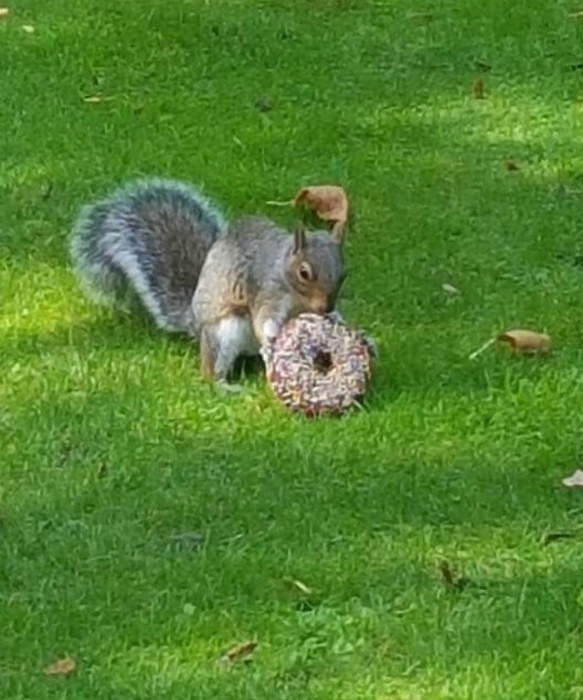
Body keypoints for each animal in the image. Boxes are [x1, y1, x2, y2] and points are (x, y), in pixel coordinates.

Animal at [70, 175, 350, 382]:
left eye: (344, 273)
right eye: (304, 273)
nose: (326, 307)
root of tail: (194, 321)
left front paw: (337, 318)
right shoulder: (266, 290)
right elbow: (264, 322)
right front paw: (271, 342)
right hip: (224, 333)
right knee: (211, 371)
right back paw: (226, 386)